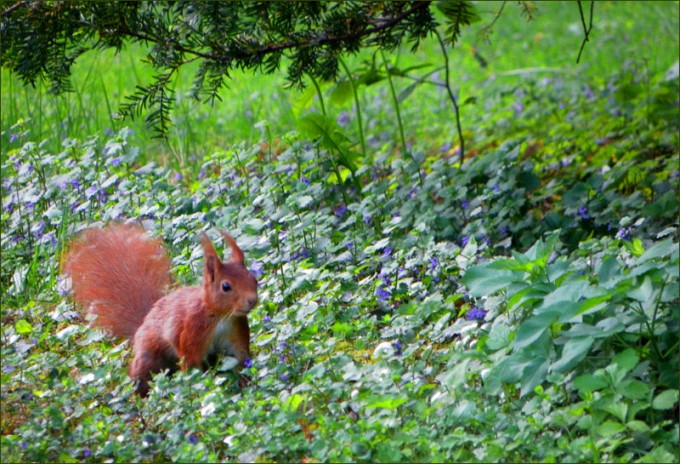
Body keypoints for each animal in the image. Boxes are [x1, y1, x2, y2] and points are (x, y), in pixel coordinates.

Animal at [62, 223, 258, 397]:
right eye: (226, 286)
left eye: (254, 279)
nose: (252, 300)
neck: (221, 317)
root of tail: (144, 321)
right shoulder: (192, 332)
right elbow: (192, 366)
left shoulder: (237, 333)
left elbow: (241, 360)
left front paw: (245, 385)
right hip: (149, 357)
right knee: (141, 377)